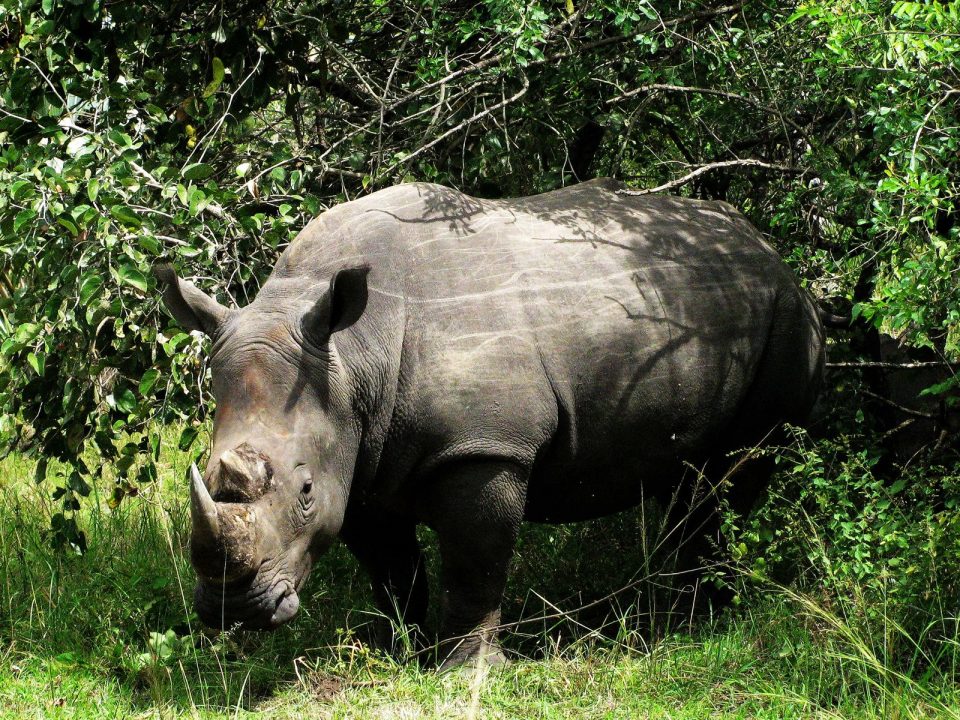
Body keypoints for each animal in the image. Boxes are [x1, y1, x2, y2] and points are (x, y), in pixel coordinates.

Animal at [156, 178, 824, 666]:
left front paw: (464, 669)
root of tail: (766, 245)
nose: (233, 609)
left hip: (788, 314)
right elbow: (391, 570)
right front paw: (392, 651)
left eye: (302, 490)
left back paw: (702, 617)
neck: (353, 356)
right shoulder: (358, 459)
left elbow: (474, 565)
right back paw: (681, 607)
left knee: (740, 467)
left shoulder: (485, 447)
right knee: (693, 477)